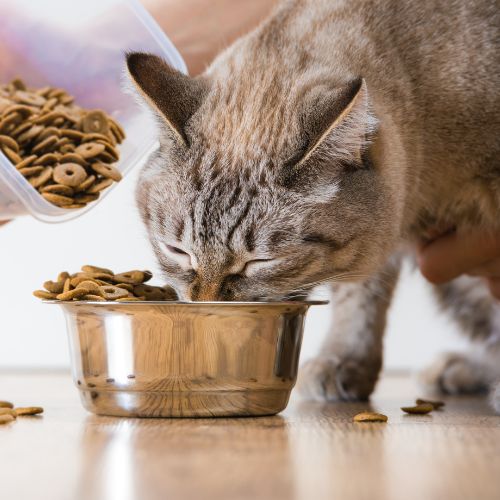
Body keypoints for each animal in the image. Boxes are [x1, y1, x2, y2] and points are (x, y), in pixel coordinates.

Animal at [126, 0, 500, 412]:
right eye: (177, 251)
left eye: (260, 262)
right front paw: (343, 361)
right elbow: (358, 298)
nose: (206, 305)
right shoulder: (370, 248)